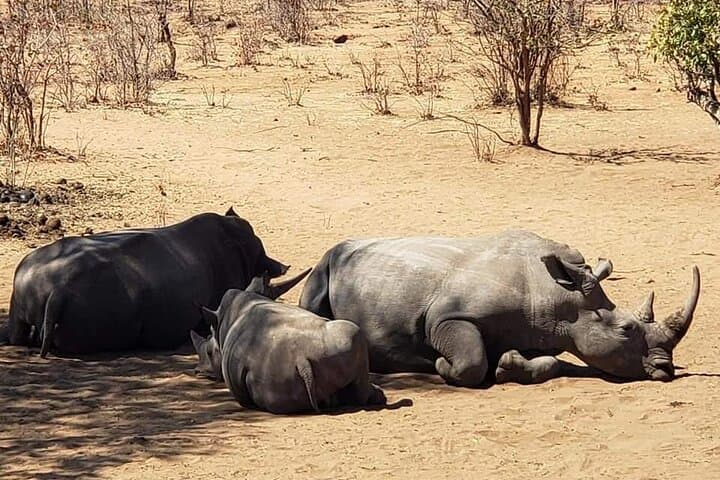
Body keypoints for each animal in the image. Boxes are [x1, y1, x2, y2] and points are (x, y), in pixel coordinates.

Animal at [299, 231, 700, 386]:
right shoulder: (447, 317)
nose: (665, 370)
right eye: (627, 330)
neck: (558, 297)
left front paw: (508, 365)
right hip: (327, 263)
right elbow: (471, 361)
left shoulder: (539, 330)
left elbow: (550, 362)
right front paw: (439, 365)